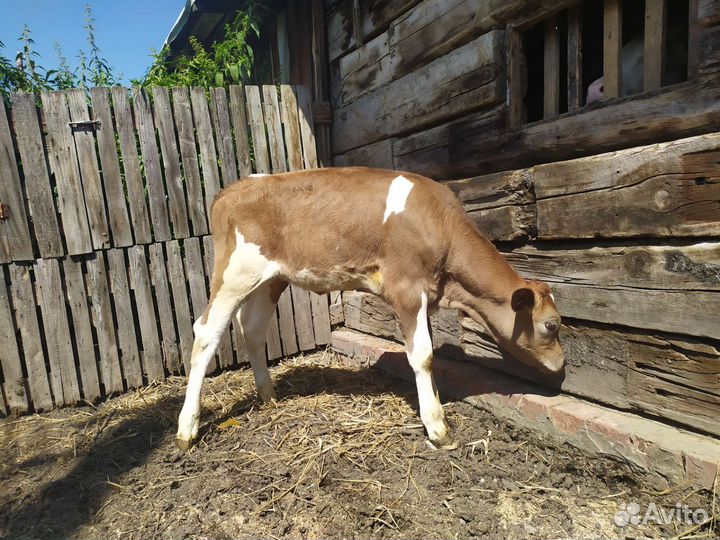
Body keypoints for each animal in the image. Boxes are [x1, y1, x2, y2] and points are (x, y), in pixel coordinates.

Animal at [176, 168, 565, 451]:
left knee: (253, 329)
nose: (561, 364)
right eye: (551, 325)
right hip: (235, 272)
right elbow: (422, 355)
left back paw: (268, 397)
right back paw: (186, 429)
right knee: (206, 331)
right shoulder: (407, 288)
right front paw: (437, 426)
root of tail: (234, 188)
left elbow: (428, 353)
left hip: (270, 278)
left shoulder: (424, 295)